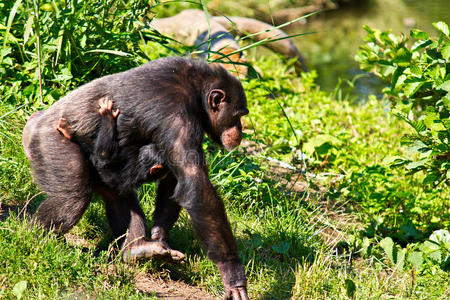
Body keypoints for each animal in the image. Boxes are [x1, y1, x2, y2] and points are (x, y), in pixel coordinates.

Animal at [22, 57, 250, 298]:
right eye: (238, 115)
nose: (240, 130)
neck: (196, 92)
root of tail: (33, 121)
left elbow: (175, 179)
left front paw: (160, 236)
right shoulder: (177, 116)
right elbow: (195, 185)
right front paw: (232, 275)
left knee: (120, 199)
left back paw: (137, 250)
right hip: (51, 142)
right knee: (71, 201)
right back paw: (33, 237)